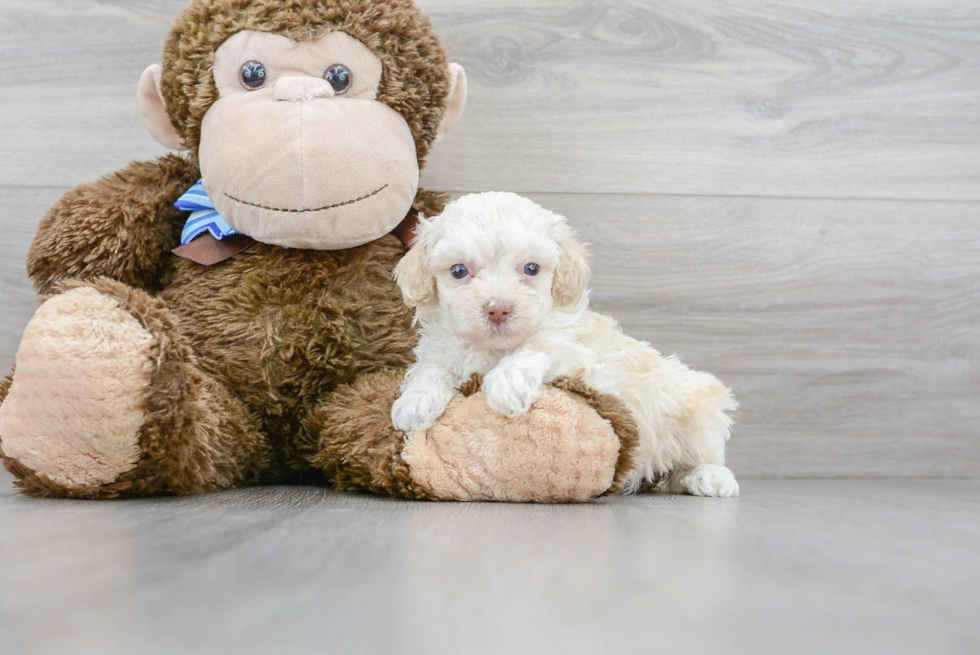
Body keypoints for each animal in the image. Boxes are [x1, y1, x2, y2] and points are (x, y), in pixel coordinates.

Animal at [392, 191, 744, 498]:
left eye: (531, 268)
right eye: (459, 270)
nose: (498, 309)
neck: (494, 349)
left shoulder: (594, 367)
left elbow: (543, 346)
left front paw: (507, 383)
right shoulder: (442, 351)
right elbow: (431, 368)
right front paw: (414, 403)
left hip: (698, 414)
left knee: (699, 457)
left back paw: (709, 477)